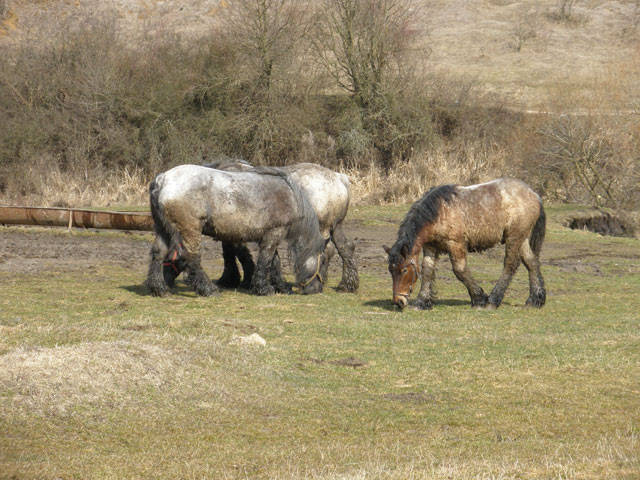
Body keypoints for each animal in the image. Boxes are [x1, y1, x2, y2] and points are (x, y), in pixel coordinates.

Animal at [202, 158, 358, 292]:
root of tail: (339, 178)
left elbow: (235, 253)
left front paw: (236, 279)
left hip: (323, 228)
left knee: (327, 251)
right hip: (336, 227)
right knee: (344, 247)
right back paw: (345, 284)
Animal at [382, 178, 548, 310]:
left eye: (404, 270)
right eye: (391, 270)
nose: (398, 301)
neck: (439, 212)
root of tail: (534, 194)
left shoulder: (456, 244)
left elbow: (460, 271)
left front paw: (479, 299)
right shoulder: (430, 247)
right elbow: (427, 271)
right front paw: (421, 302)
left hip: (514, 238)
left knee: (510, 265)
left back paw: (493, 300)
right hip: (521, 238)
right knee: (531, 263)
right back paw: (535, 300)